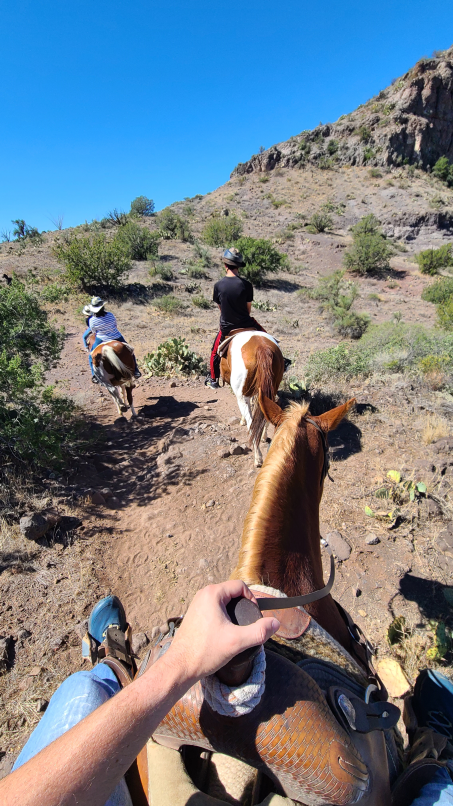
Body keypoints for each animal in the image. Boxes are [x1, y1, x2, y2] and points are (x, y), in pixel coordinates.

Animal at [218, 328, 282, 468]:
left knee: (252, 424)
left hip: (242, 396)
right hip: (271, 389)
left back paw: (258, 458)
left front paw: (242, 421)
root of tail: (261, 347)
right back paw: (263, 437)